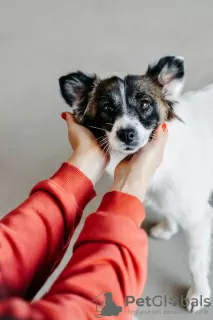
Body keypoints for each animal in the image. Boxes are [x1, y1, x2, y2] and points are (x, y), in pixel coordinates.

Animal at [58, 56, 213, 312]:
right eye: (107, 108)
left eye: (145, 104)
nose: (126, 133)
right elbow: (169, 213)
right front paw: (168, 228)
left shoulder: (198, 220)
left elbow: (195, 263)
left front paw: (198, 294)